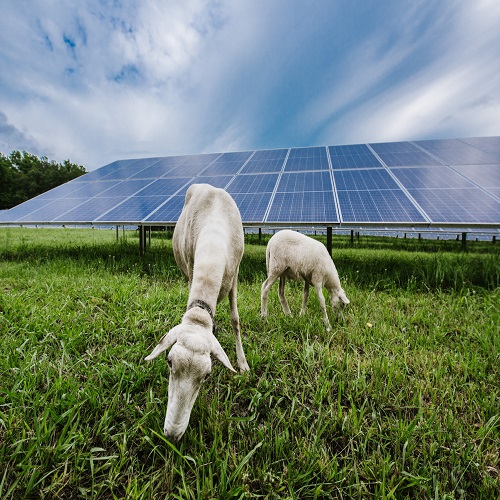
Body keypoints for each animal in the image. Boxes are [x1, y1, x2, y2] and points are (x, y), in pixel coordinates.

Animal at [145, 185, 250, 442]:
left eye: (207, 376)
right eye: (169, 361)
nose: (172, 435)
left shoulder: (235, 275)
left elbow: (235, 320)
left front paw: (242, 363)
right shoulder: (191, 267)